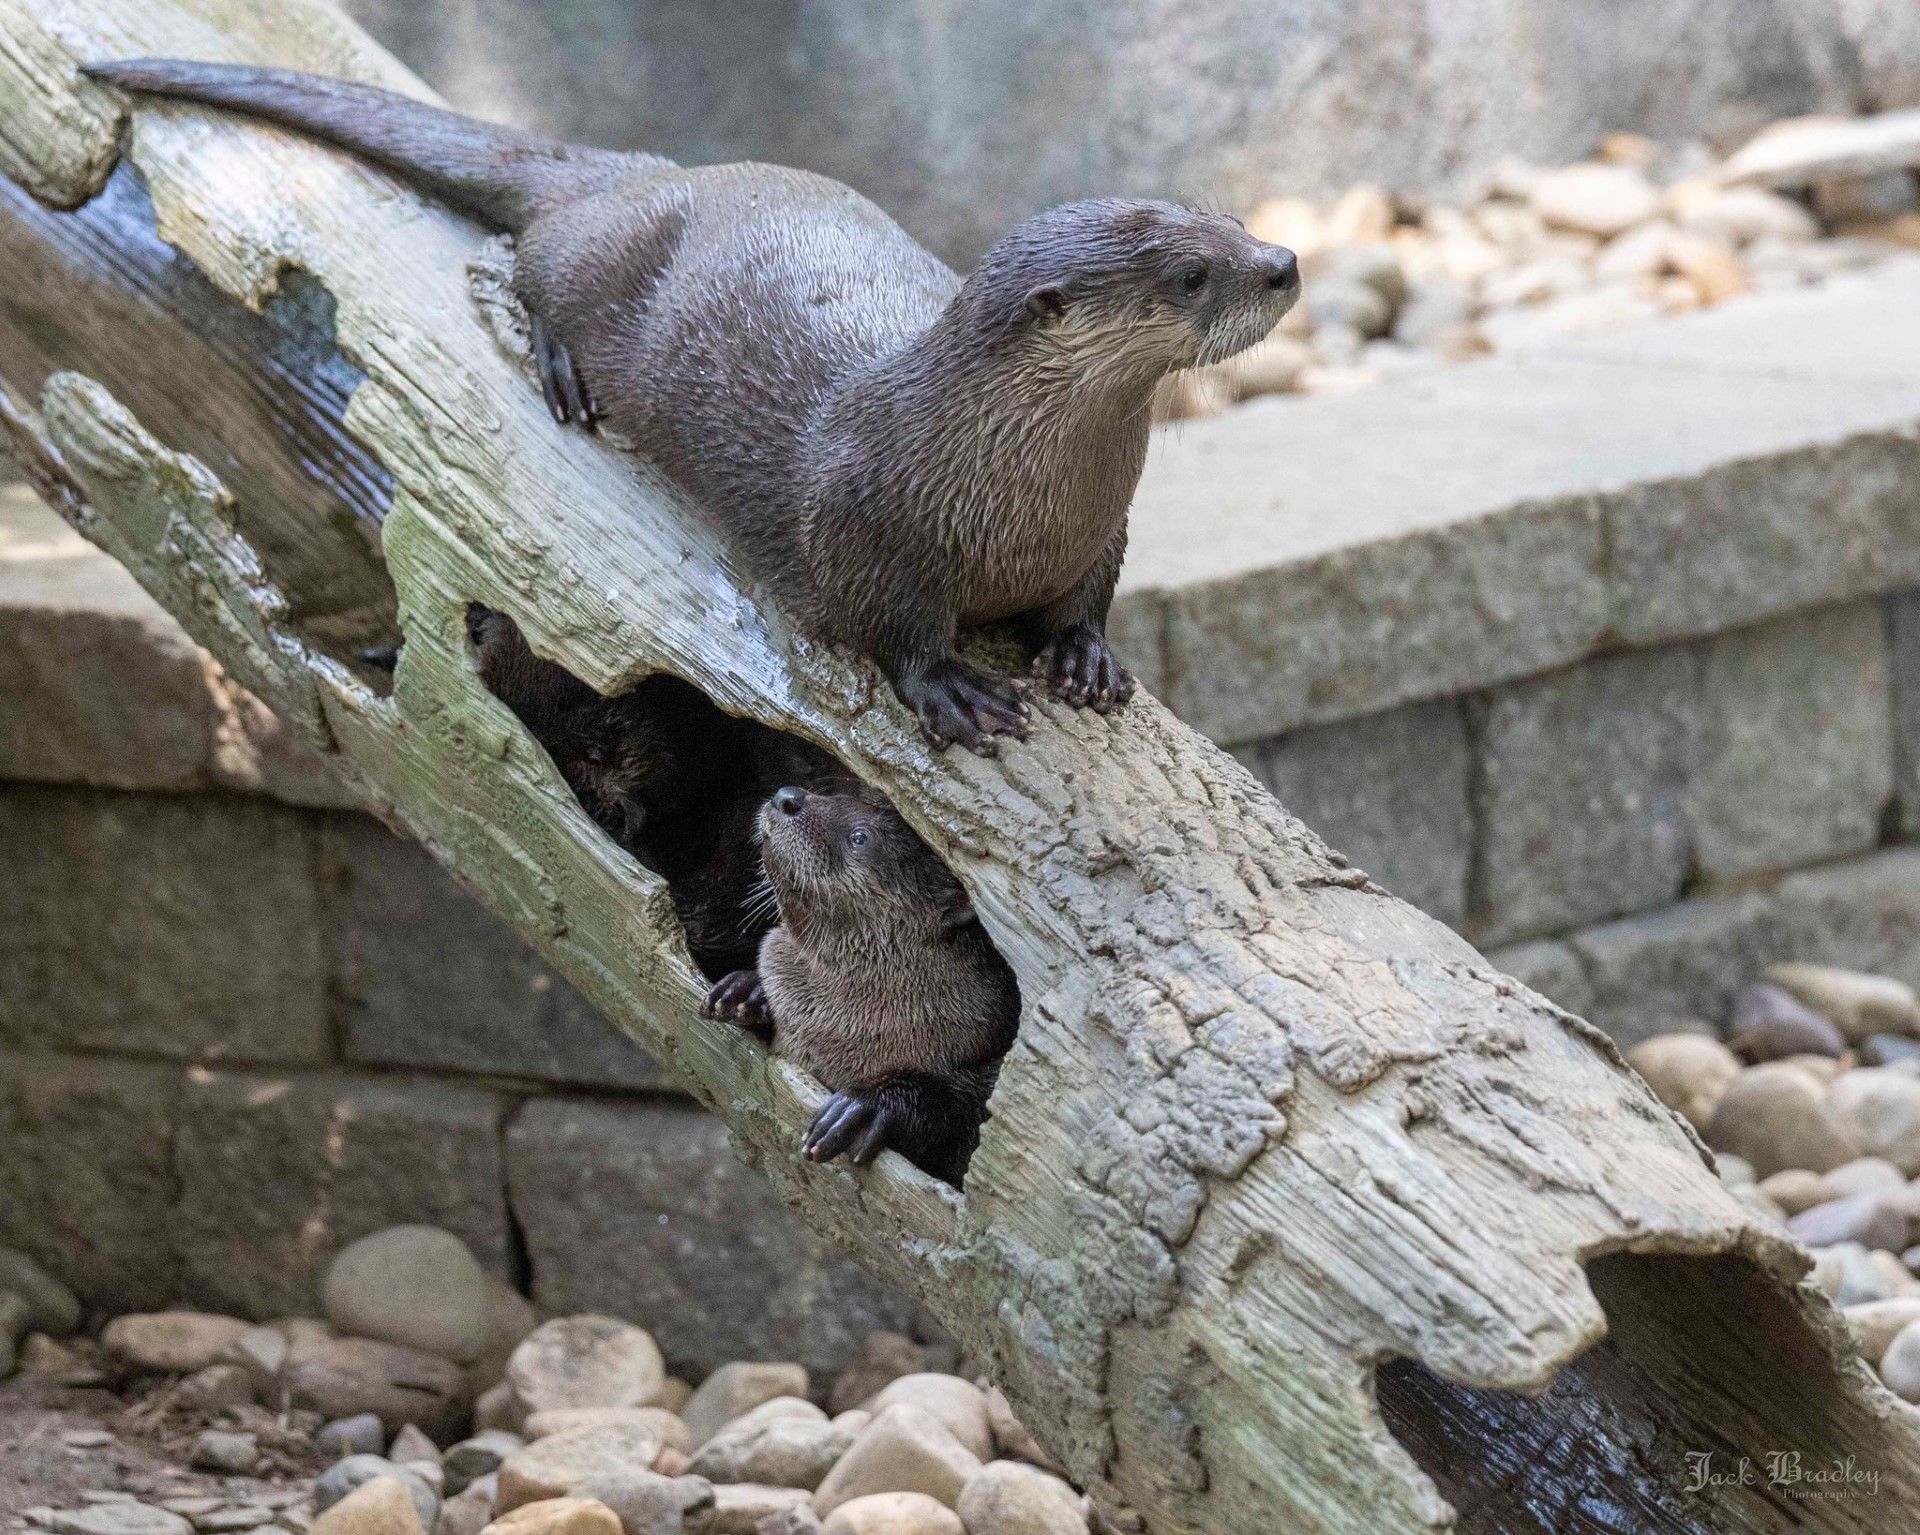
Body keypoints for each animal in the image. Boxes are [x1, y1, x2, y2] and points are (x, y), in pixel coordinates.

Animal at [88, 60, 1301, 754]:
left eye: (1231, 222)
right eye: (1192, 273)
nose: (1283, 263)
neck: (1001, 480)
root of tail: (645, 174)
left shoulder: (1101, 526)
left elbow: (1089, 594)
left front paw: (1086, 657)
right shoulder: (865, 527)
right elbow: (891, 624)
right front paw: (952, 690)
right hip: (597, 255)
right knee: (535, 255)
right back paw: (563, 368)